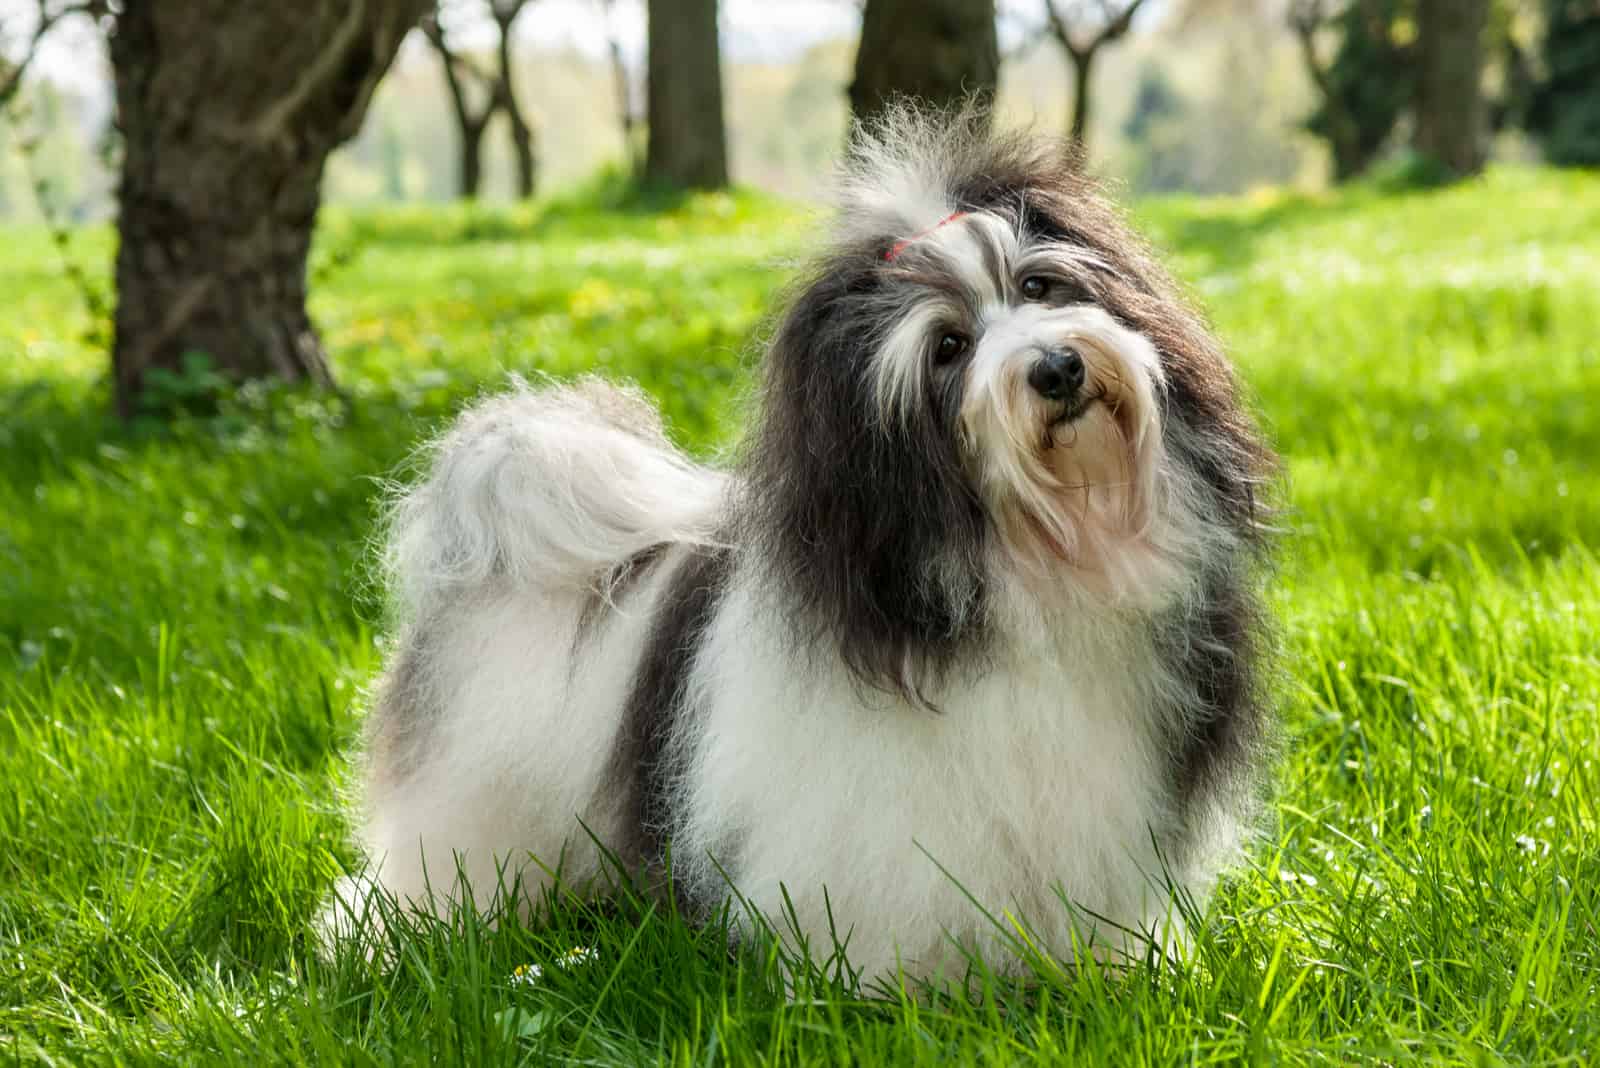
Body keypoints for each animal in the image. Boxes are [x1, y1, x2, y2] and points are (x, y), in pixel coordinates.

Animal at [334, 110, 1273, 984]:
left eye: (1041, 284)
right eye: (948, 347)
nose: (1057, 369)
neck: (1034, 567)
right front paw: (889, 992)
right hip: (469, 797)